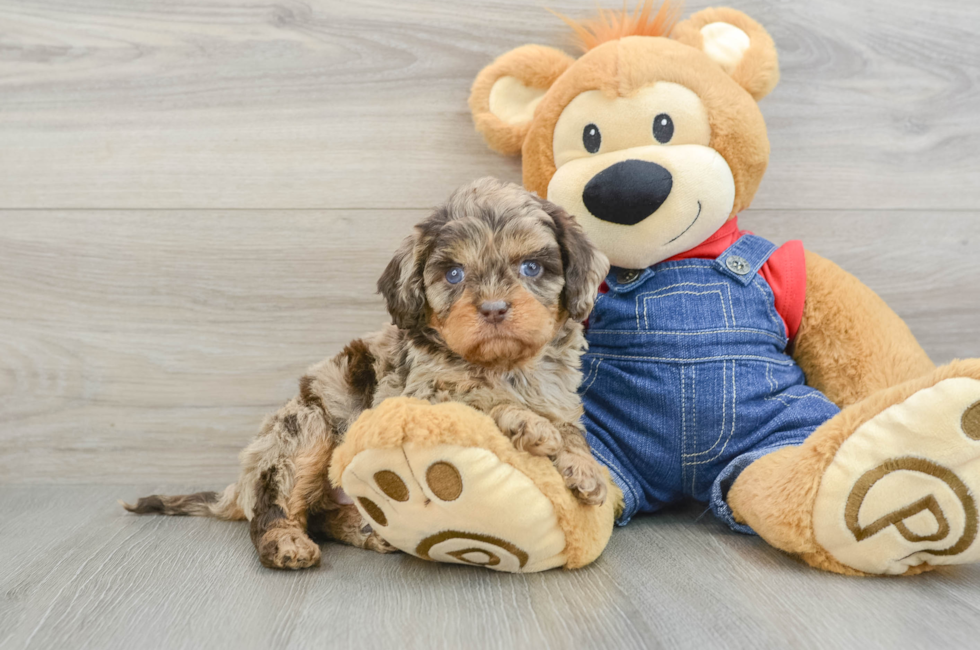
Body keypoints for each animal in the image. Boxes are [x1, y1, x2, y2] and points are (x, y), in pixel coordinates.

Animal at [125, 177, 608, 568]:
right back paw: (285, 542)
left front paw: (584, 467)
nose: (492, 309)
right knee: (274, 508)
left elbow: (571, 430)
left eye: (532, 267)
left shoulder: (560, 398)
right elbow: (481, 398)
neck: (505, 366)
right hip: (302, 432)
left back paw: (364, 529)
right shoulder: (422, 394)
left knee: (320, 514)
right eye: (454, 274)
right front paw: (528, 422)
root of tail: (239, 485)